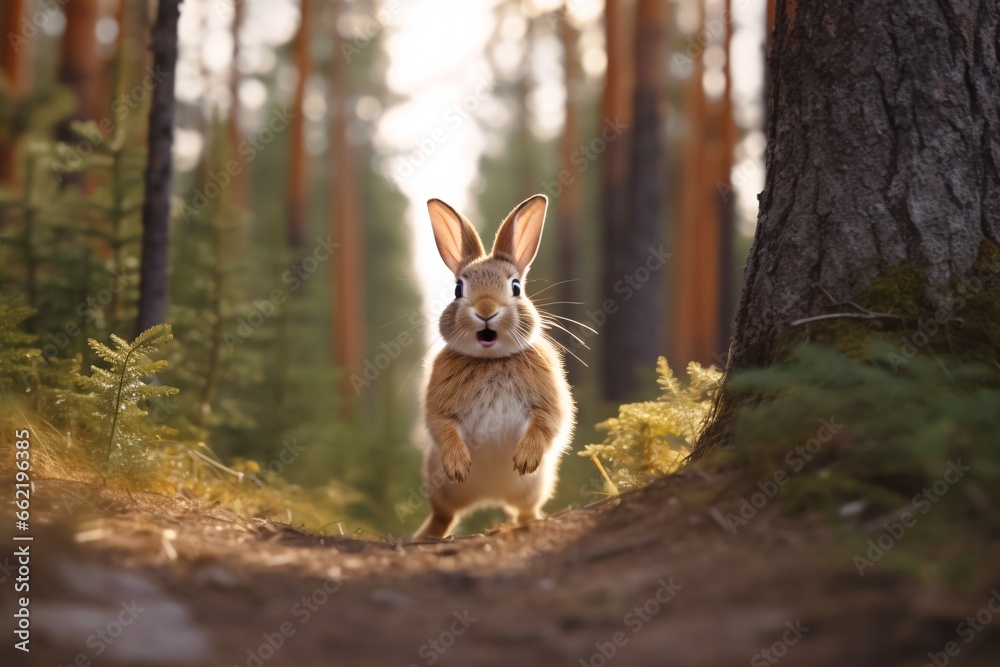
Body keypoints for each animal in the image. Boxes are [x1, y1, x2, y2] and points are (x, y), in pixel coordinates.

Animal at [414, 194, 576, 540]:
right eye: (458, 289)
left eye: (515, 287)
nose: (486, 310)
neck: (492, 361)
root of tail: (488, 496)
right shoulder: (440, 404)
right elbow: (442, 426)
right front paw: (459, 465)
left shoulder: (548, 399)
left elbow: (548, 422)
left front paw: (525, 459)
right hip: (441, 488)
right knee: (444, 515)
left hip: (534, 487)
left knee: (524, 510)